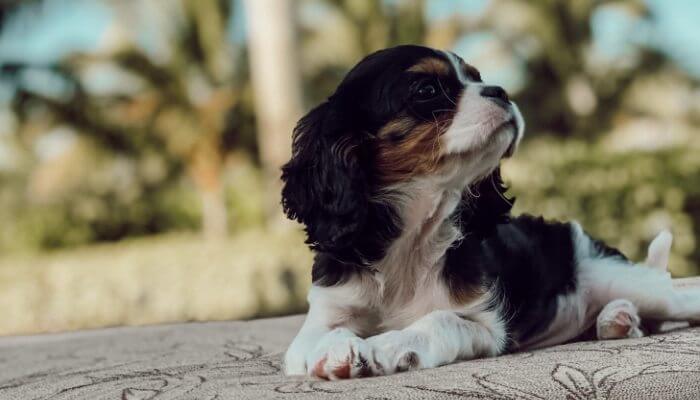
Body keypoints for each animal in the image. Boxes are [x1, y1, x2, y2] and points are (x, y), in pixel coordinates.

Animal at [278, 45, 700, 380]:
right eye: (426, 90)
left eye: (478, 78)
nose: (502, 91)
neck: (412, 238)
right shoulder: (324, 314)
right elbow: (318, 338)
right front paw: (336, 351)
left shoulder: (487, 326)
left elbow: (439, 321)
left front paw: (387, 345)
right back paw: (618, 320)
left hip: (627, 281)